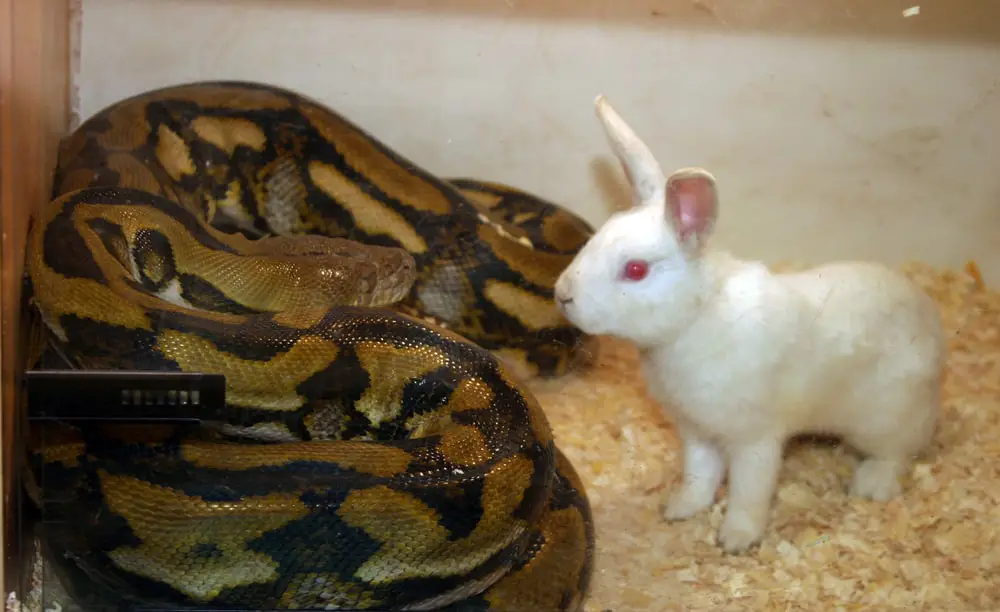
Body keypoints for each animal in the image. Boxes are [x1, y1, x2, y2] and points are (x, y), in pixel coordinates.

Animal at [556, 93, 944, 552]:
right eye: (596, 238)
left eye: (635, 270)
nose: (563, 295)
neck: (697, 316)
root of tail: (934, 329)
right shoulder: (697, 433)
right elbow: (700, 475)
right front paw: (680, 509)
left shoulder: (755, 440)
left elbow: (749, 492)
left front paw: (736, 539)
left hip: (884, 419)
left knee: (900, 452)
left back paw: (872, 485)